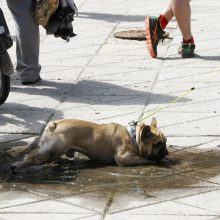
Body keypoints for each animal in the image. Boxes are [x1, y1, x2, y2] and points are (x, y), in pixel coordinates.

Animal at [10, 117, 168, 170]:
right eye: (158, 144)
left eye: (165, 142)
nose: (166, 151)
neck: (134, 136)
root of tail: (53, 124)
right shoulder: (124, 157)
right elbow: (144, 159)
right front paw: (158, 161)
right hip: (51, 151)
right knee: (32, 157)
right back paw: (16, 166)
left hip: (55, 150)